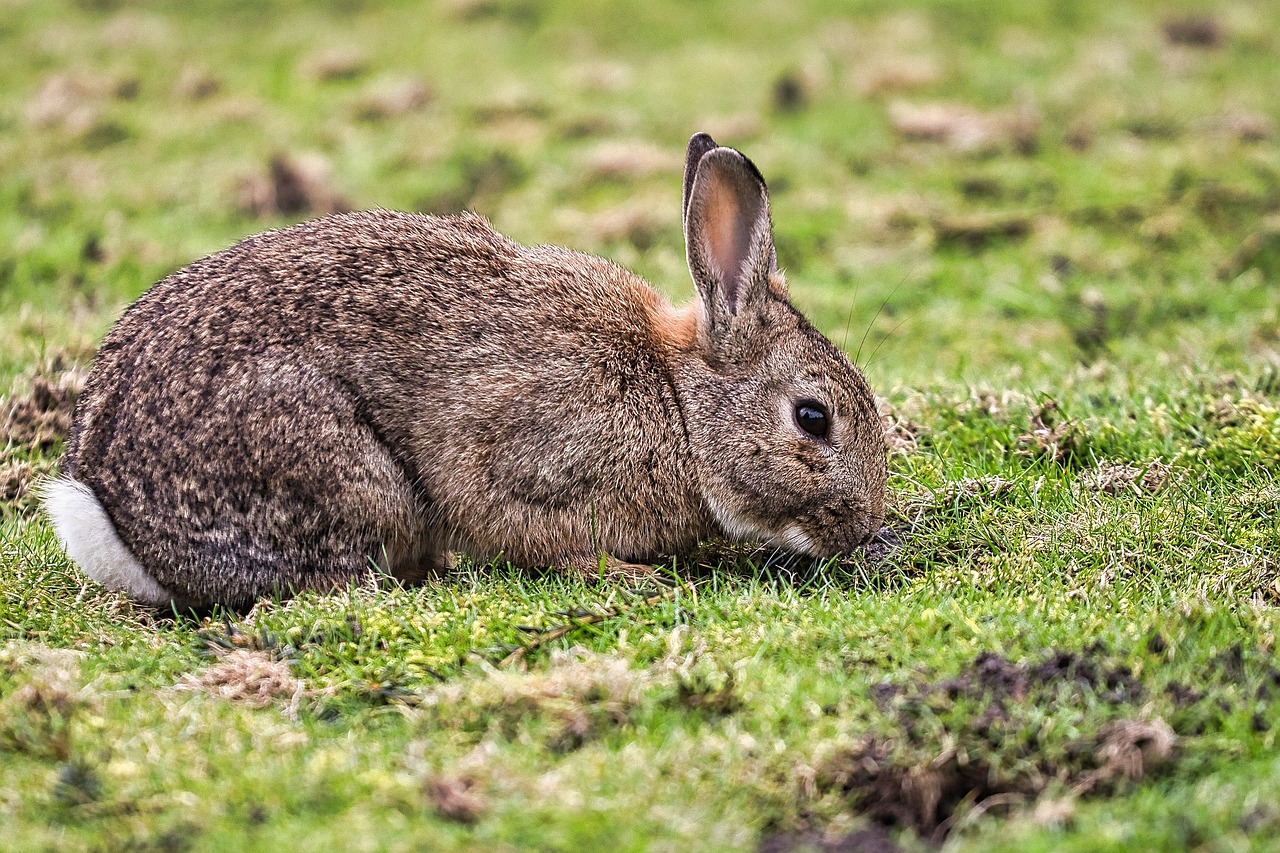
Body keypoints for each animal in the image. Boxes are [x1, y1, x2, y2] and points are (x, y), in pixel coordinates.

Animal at [45, 133, 885, 607]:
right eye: (813, 417)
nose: (864, 527)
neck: (680, 403)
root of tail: (108, 516)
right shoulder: (525, 462)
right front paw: (625, 575)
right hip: (338, 469)